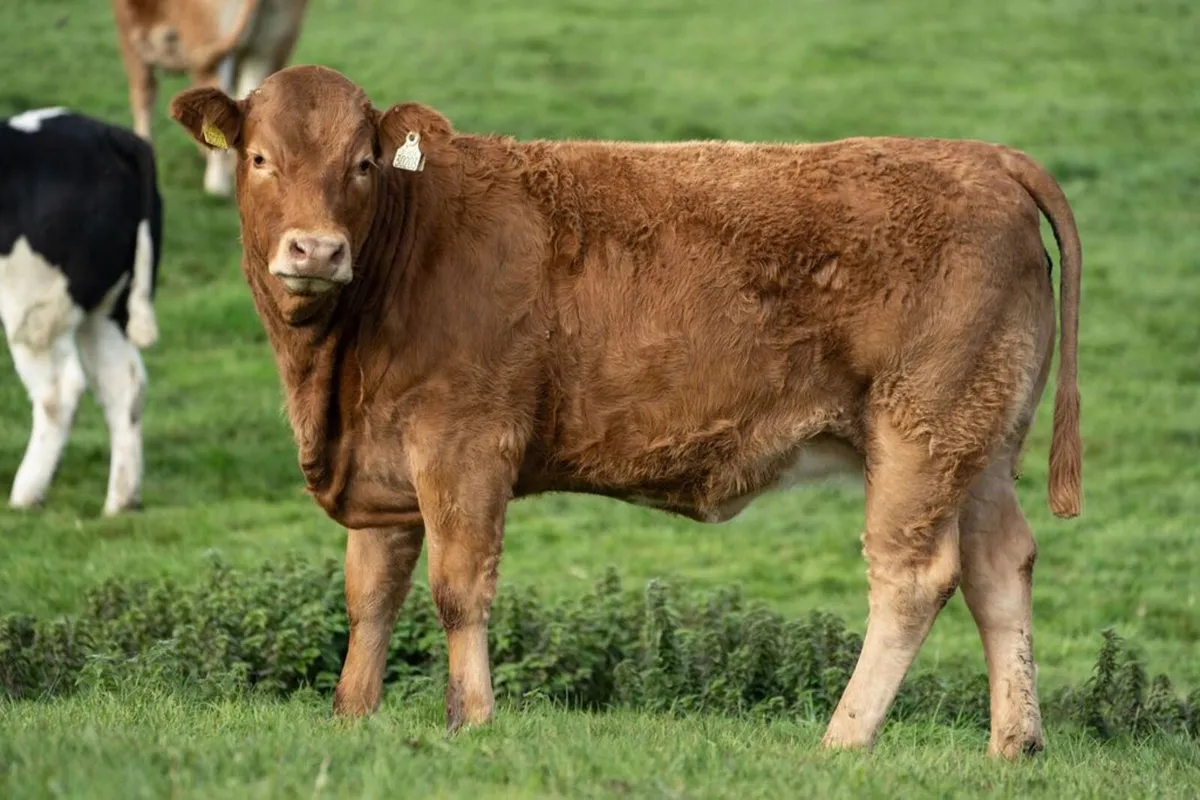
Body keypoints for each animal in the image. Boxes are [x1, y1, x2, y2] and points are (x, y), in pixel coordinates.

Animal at [0, 108, 163, 516]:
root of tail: (108, 134)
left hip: (34, 311)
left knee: (59, 391)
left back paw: (26, 494)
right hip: (106, 310)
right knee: (125, 383)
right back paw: (120, 500)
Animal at [168, 64, 1084, 760]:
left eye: (362, 163)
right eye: (259, 157)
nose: (316, 250)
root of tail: (984, 156)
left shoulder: (465, 443)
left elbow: (458, 587)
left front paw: (472, 721)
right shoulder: (385, 460)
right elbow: (371, 595)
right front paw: (352, 717)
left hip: (920, 434)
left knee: (912, 577)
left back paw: (843, 739)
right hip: (979, 444)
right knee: (1001, 567)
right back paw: (1014, 745)